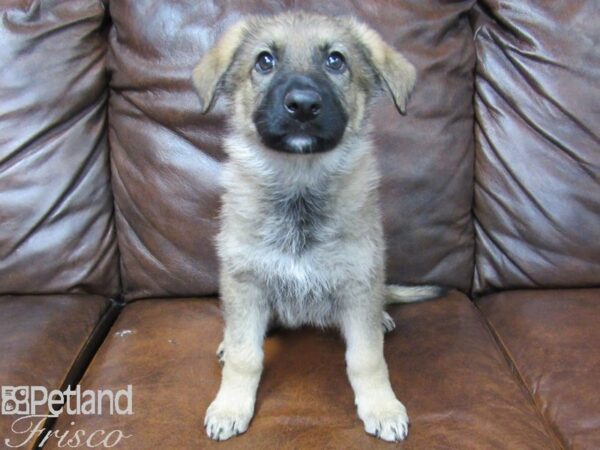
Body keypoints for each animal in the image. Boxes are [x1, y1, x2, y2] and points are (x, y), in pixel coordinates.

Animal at [195, 12, 442, 442]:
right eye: (264, 61)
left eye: (335, 60)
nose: (303, 105)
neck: (300, 187)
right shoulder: (245, 281)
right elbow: (246, 356)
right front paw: (230, 405)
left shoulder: (359, 283)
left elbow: (366, 358)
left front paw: (382, 406)